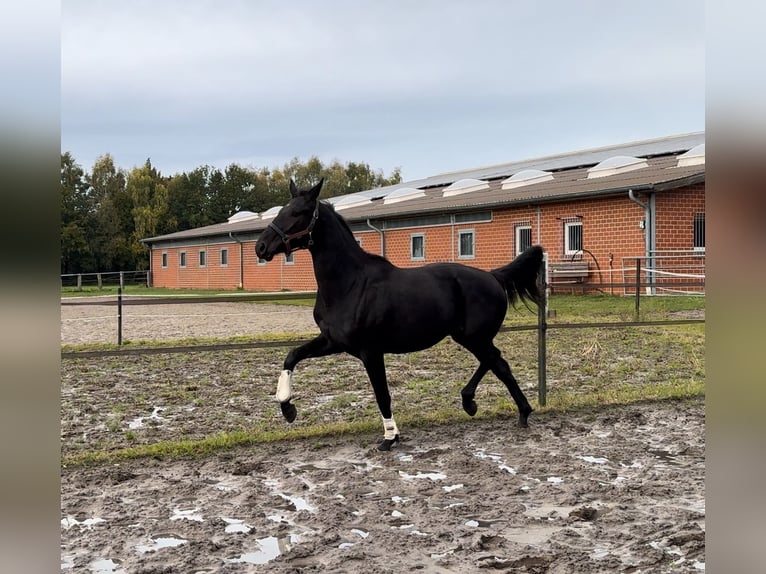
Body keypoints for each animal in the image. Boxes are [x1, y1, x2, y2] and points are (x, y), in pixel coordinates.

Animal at [258, 180, 544, 450]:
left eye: (299, 212)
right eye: (282, 210)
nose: (260, 247)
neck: (350, 284)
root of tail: (493, 276)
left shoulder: (371, 352)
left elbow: (382, 394)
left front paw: (390, 438)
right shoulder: (333, 342)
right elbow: (292, 355)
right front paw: (287, 407)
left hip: (475, 337)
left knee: (498, 363)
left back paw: (513, 410)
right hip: (469, 337)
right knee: (494, 361)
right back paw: (479, 403)